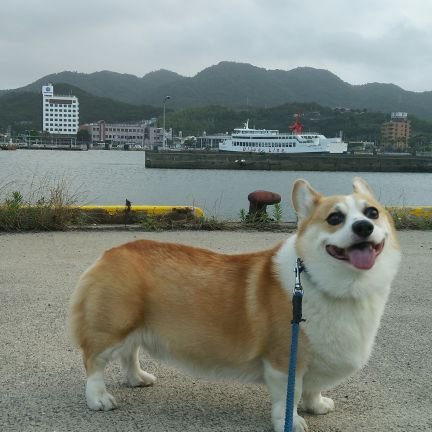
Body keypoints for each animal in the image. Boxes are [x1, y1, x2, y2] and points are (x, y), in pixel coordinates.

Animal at [68, 177, 402, 430]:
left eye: (372, 213)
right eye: (335, 218)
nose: (363, 227)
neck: (332, 283)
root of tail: (110, 252)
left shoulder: (316, 357)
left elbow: (312, 386)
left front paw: (316, 405)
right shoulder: (283, 359)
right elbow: (289, 395)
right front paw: (290, 422)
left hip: (135, 325)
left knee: (130, 352)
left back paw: (137, 378)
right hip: (112, 328)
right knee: (94, 363)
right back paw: (99, 399)